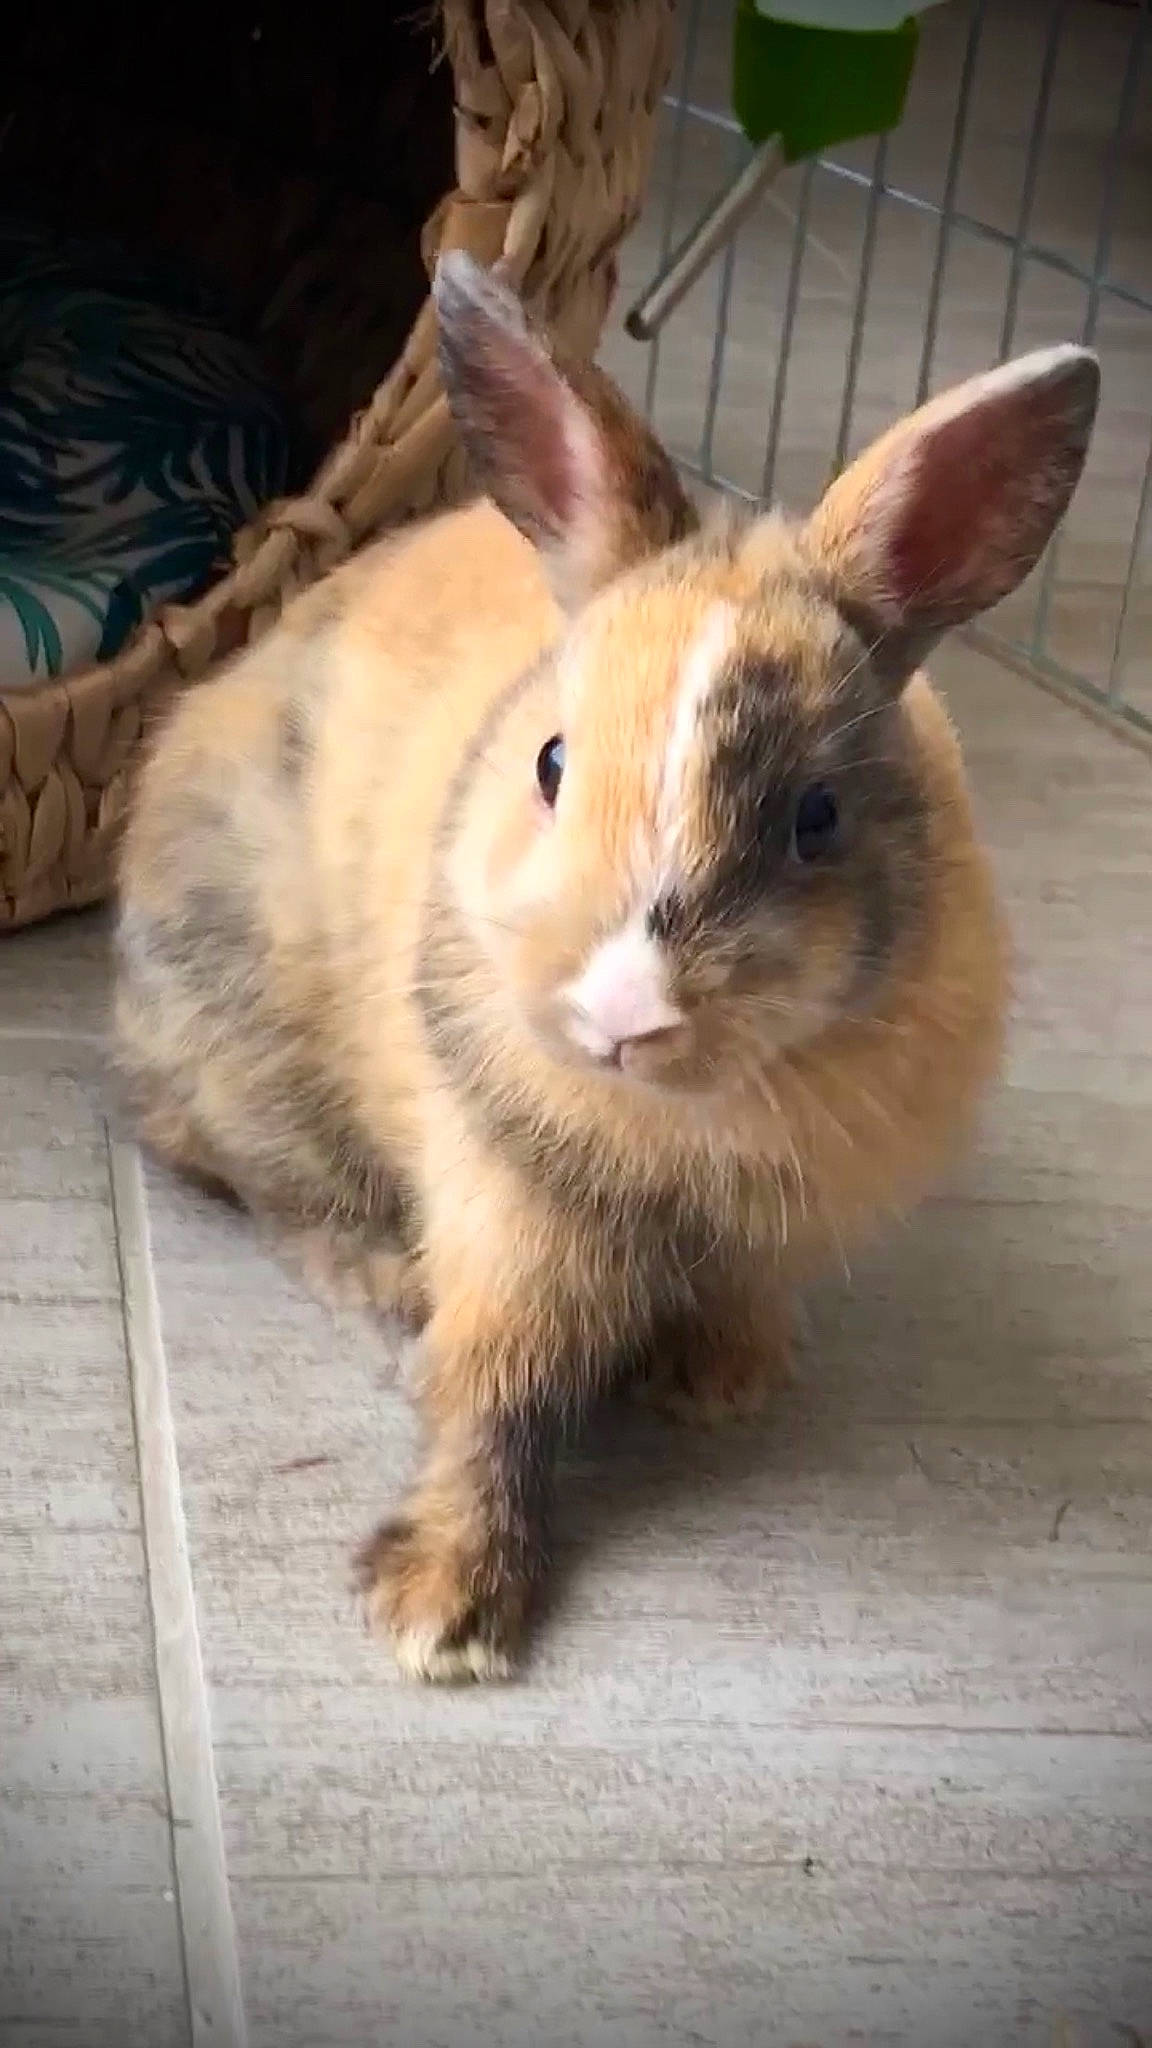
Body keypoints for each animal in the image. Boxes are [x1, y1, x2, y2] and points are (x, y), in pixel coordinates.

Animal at [115, 252, 1099, 1682]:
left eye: (817, 817)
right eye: (551, 763)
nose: (624, 1010)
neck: (689, 1123)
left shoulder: (768, 1233)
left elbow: (727, 1298)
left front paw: (719, 1386)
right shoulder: (509, 1212)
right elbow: (496, 1392)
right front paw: (442, 1619)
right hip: (240, 1024)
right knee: (259, 1179)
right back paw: (383, 1285)